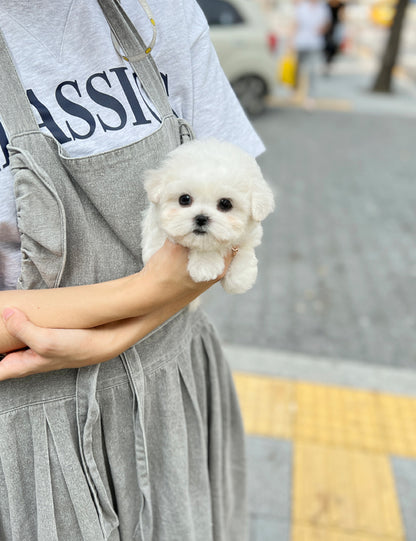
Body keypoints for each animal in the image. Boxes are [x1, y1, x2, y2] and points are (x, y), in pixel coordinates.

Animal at [141, 139, 274, 298]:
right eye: (184, 199)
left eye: (225, 203)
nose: (201, 218)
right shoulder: (155, 242)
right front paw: (205, 265)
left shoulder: (250, 233)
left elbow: (245, 246)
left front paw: (240, 278)